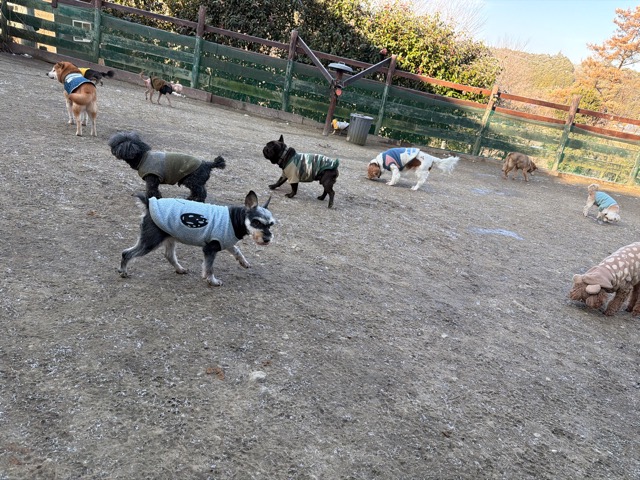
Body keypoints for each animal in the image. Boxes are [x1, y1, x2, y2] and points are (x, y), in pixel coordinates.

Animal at [119, 191, 275, 287]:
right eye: (256, 222)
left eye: (271, 224)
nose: (267, 239)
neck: (234, 220)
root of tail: (148, 203)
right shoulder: (210, 248)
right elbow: (209, 267)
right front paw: (212, 281)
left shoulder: (224, 242)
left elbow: (237, 251)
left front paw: (243, 262)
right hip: (150, 242)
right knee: (126, 253)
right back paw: (123, 272)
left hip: (169, 237)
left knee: (169, 255)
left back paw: (180, 269)